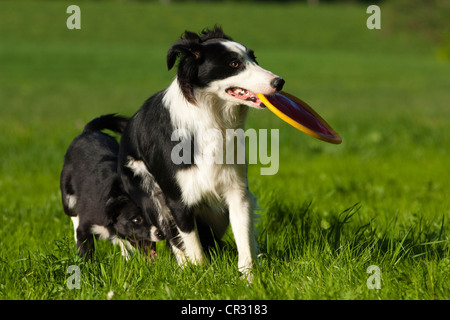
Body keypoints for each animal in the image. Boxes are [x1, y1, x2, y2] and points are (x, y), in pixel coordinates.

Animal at [118, 26, 284, 278]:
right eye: (234, 64)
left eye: (254, 58)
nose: (279, 81)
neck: (211, 119)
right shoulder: (177, 198)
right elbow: (190, 242)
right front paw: (198, 274)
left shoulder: (237, 189)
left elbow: (243, 237)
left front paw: (249, 278)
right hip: (149, 192)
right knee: (172, 234)